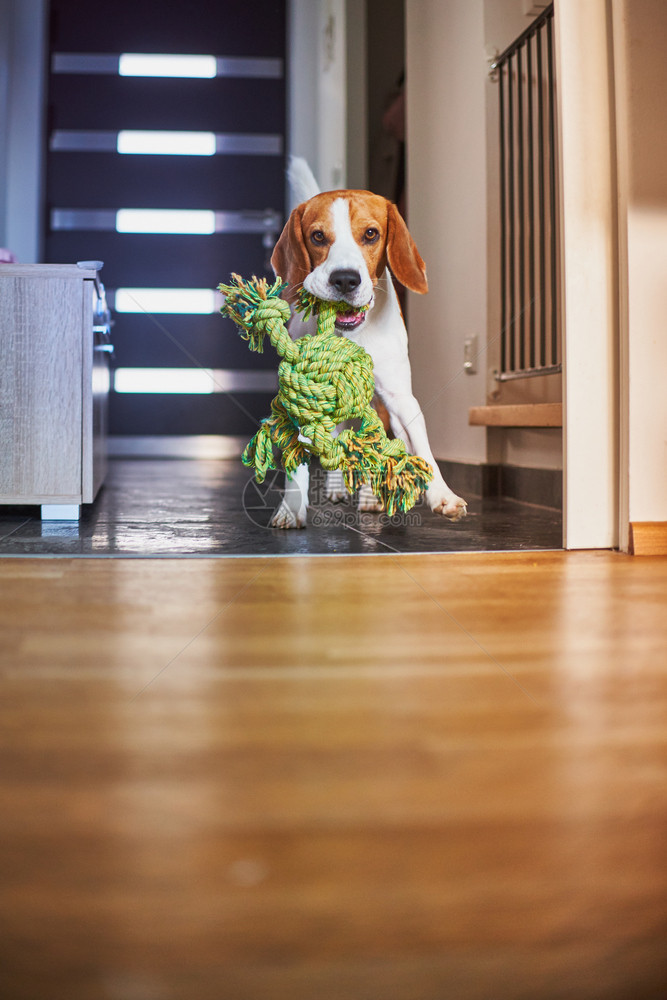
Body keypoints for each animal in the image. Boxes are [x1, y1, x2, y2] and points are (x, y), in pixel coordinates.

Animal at [268, 175, 468, 528]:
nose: (345, 279)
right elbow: (298, 463)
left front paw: (443, 496)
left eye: (371, 234)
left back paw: (370, 498)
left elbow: (422, 448)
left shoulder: (400, 398)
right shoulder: (301, 400)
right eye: (317, 236)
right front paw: (291, 508)